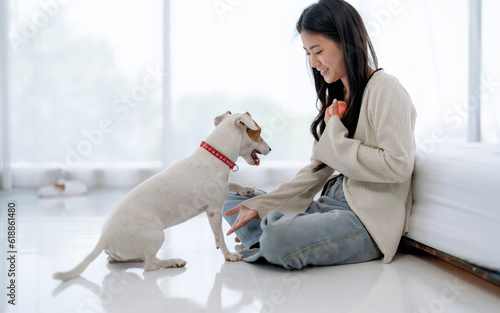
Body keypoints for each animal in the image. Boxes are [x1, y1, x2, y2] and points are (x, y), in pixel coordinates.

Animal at [54, 112, 272, 280]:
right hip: (156, 234)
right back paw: (173, 261)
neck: (216, 154)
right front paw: (229, 256)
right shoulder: (214, 211)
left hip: (128, 249)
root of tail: (104, 238)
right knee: (149, 264)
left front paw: (246, 189)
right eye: (259, 132)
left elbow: (232, 184)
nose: (270, 149)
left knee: (123, 258)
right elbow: (219, 238)